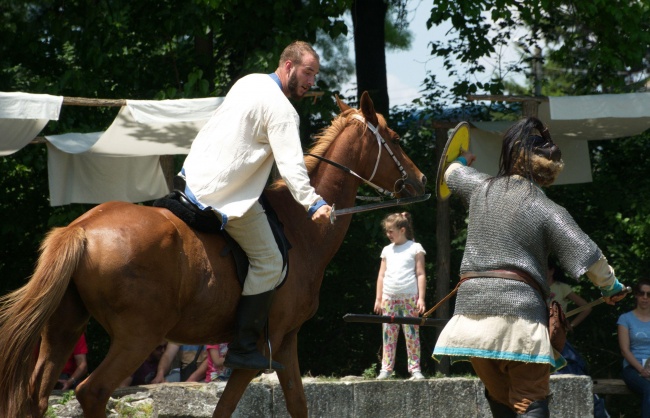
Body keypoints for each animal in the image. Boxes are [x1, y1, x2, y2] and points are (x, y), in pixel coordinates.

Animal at [0, 92, 426, 418]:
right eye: (394, 137)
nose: (421, 180)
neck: (302, 227)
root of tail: (82, 229)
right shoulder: (261, 351)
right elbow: (227, 407)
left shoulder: (286, 343)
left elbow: (297, 404)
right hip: (138, 336)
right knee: (92, 392)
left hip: (64, 329)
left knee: (36, 396)